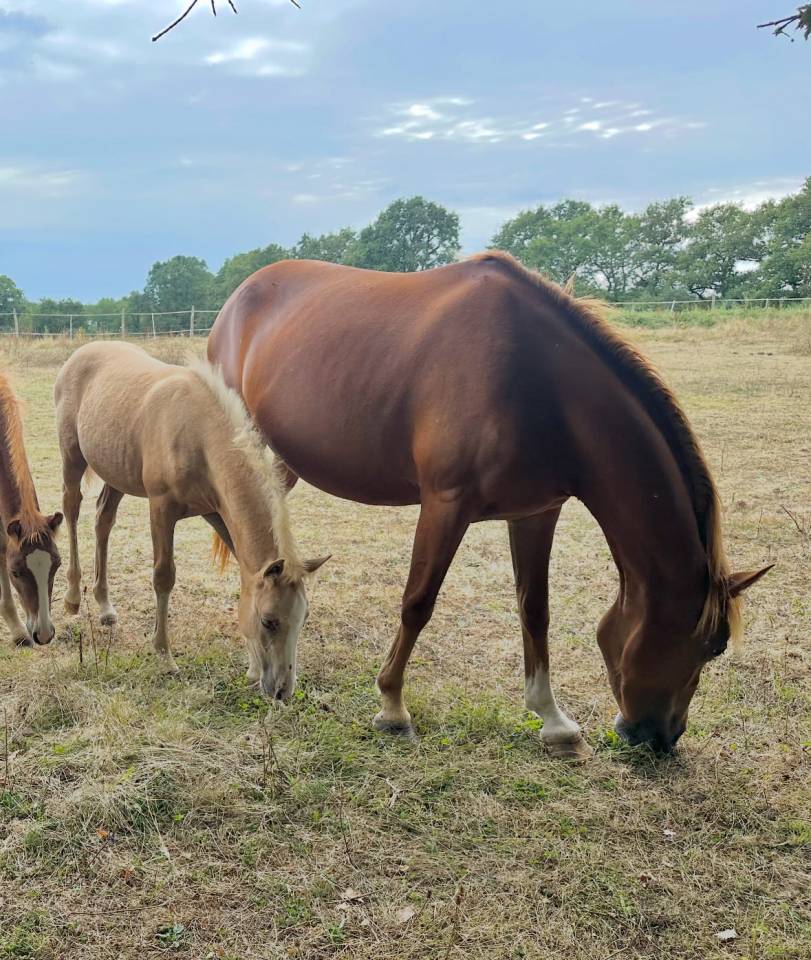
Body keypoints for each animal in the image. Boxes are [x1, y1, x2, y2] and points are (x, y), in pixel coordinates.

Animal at [53, 342, 329, 696]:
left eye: (303, 619)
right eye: (268, 620)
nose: (282, 690)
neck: (198, 432)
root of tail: (79, 354)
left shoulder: (216, 512)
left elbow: (243, 571)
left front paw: (252, 667)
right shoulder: (161, 507)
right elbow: (163, 577)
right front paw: (164, 656)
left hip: (116, 471)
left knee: (103, 520)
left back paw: (105, 606)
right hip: (71, 457)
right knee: (72, 510)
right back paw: (73, 598)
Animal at [207, 251, 772, 756]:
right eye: (714, 646)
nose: (662, 739)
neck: (539, 382)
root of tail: (238, 297)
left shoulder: (536, 512)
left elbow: (534, 609)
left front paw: (553, 720)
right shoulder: (446, 503)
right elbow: (418, 603)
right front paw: (392, 708)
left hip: (283, 462)